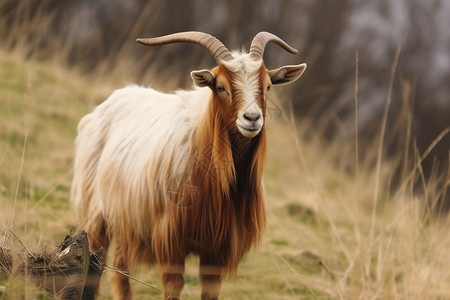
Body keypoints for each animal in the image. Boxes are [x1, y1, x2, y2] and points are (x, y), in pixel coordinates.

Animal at [71, 31, 306, 298]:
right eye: (221, 87)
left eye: (267, 86)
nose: (252, 118)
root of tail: (110, 101)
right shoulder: (170, 237)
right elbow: (173, 287)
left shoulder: (218, 248)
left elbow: (211, 291)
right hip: (98, 213)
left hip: (127, 220)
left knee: (120, 270)